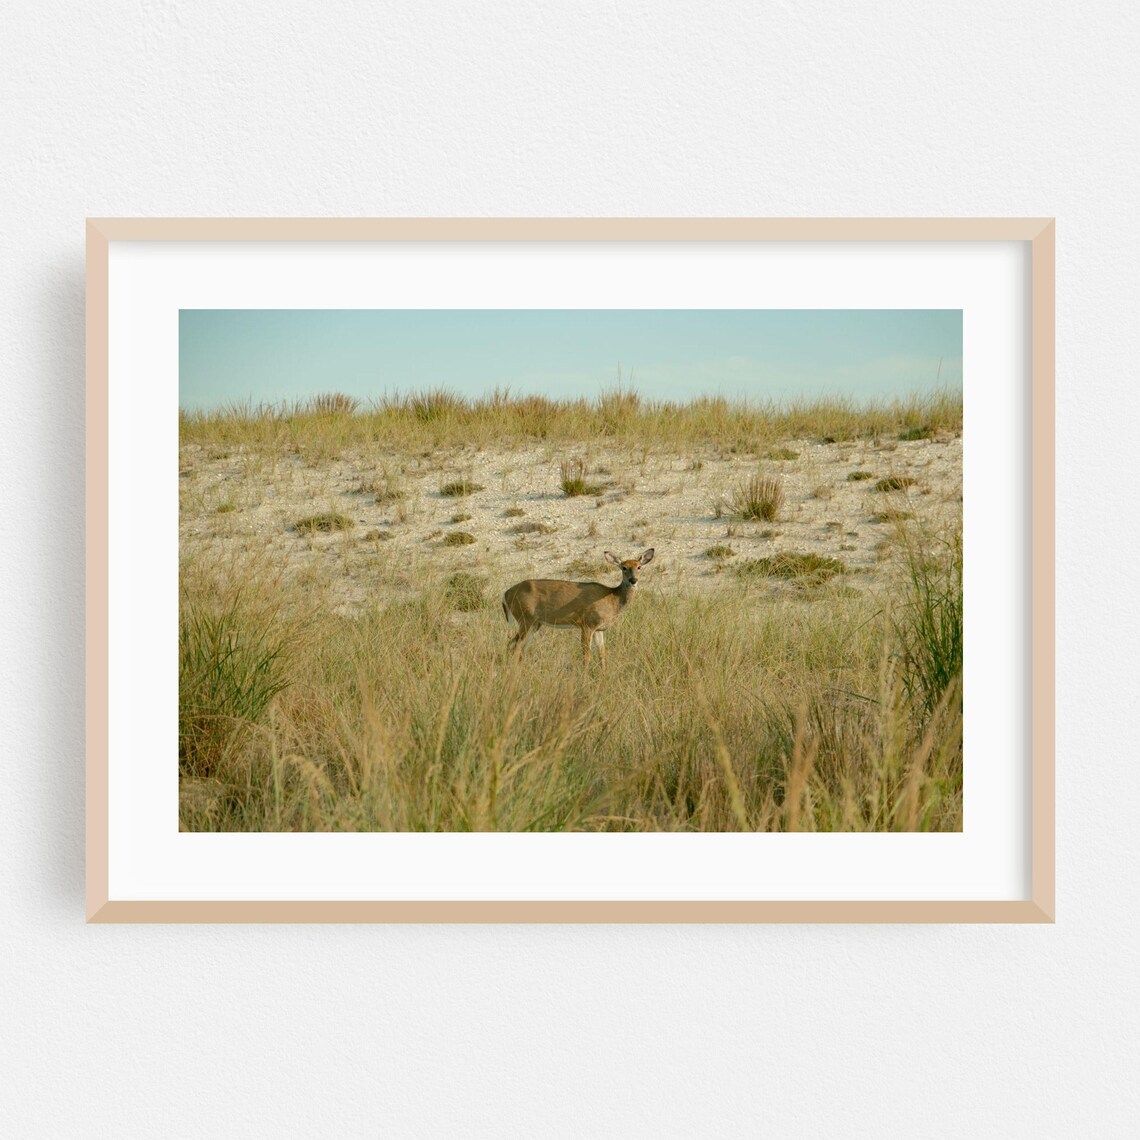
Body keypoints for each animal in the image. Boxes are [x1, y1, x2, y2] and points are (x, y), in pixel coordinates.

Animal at [501, 549, 654, 668]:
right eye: (624, 567)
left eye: (639, 566)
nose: (633, 580)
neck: (613, 598)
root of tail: (506, 594)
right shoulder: (587, 624)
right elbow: (587, 655)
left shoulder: (599, 629)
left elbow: (602, 654)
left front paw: (603, 676)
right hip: (525, 619)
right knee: (516, 646)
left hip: (535, 624)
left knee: (514, 646)